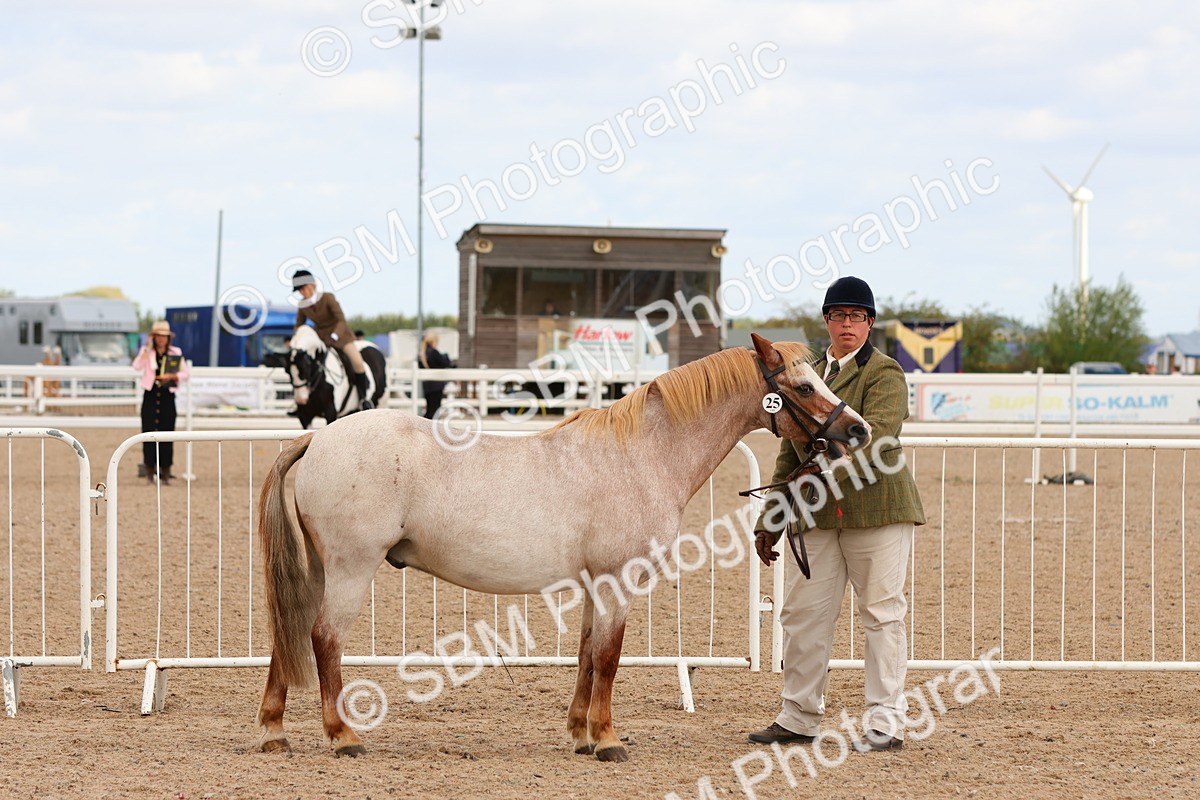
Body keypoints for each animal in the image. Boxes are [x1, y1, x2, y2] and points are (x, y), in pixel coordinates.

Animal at [255, 333, 871, 761]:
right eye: (804, 387)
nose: (858, 431)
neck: (641, 453)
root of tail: (319, 437)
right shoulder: (619, 580)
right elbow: (609, 657)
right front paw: (608, 739)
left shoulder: (597, 583)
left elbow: (586, 654)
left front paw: (581, 733)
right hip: (350, 570)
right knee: (323, 639)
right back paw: (343, 736)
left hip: (320, 571)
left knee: (290, 633)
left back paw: (275, 731)